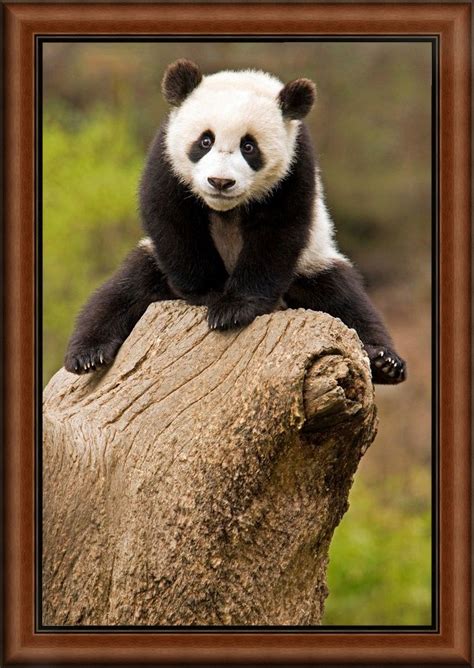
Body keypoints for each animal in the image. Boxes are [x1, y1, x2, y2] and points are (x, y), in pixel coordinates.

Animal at [65, 60, 408, 384]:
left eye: (249, 146)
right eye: (204, 141)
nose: (220, 182)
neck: (225, 210)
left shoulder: (295, 167)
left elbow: (278, 234)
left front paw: (232, 309)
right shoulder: (166, 157)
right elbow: (171, 220)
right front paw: (210, 294)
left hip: (312, 263)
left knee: (344, 300)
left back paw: (384, 361)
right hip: (153, 267)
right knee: (120, 294)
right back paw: (88, 354)